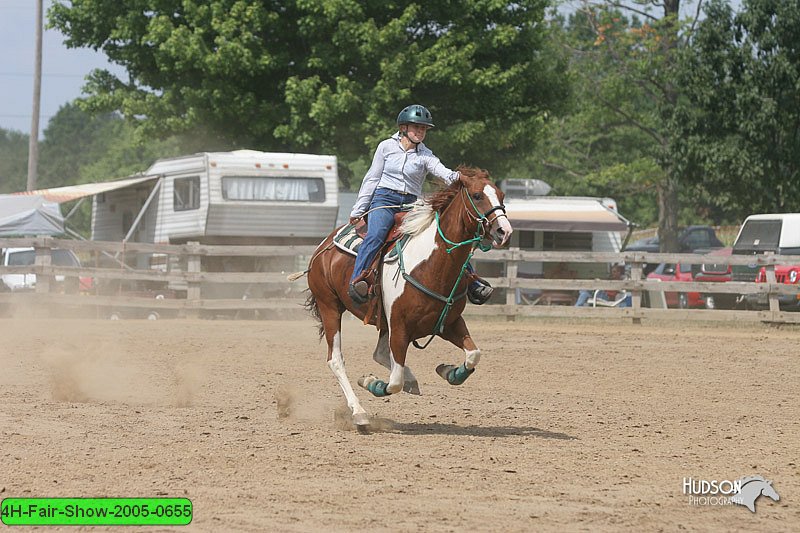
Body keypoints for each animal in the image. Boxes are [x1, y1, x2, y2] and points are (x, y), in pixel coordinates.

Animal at [298, 164, 512, 430]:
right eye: (477, 195)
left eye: (501, 196)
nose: (504, 231)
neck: (432, 265)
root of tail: (324, 245)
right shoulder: (399, 327)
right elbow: (394, 381)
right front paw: (371, 382)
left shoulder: (449, 323)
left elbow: (474, 354)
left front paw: (450, 371)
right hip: (330, 306)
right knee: (336, 359)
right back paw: (359, 412)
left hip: (381, 320)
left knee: (379, 353)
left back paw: (411, 381)